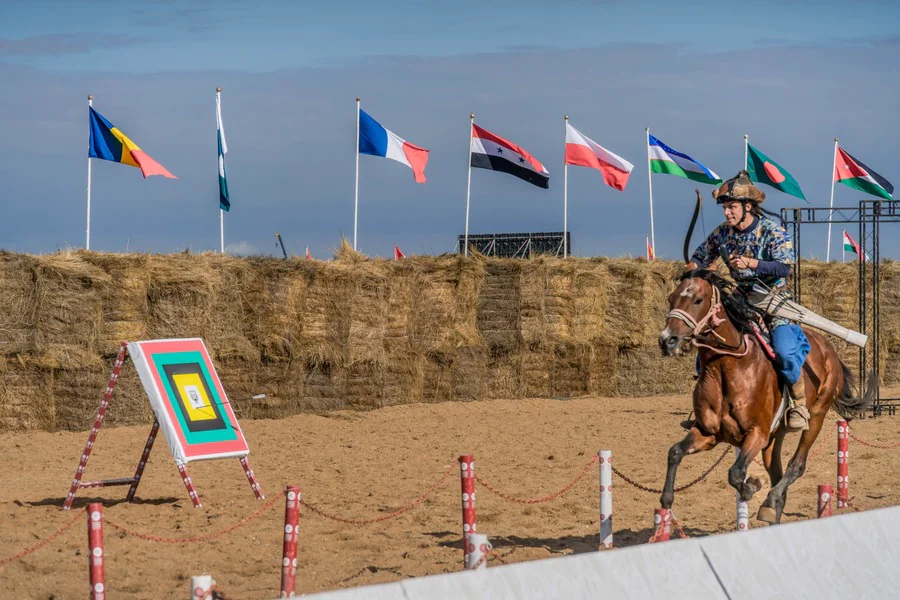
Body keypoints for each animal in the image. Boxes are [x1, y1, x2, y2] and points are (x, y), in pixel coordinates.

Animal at [652, 270, 872, 524]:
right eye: (671, 298)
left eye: (698, 299)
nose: (667, 340)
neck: (727, 368)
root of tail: (829, 349)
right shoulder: (708, 433)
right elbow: (675, 452)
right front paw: (666, 500)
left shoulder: (756, 433)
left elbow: (736, 473)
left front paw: (752, 487)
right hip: (775, 437)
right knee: (777, 472)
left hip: (816, 415)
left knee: (796, 465)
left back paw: (769, 500)